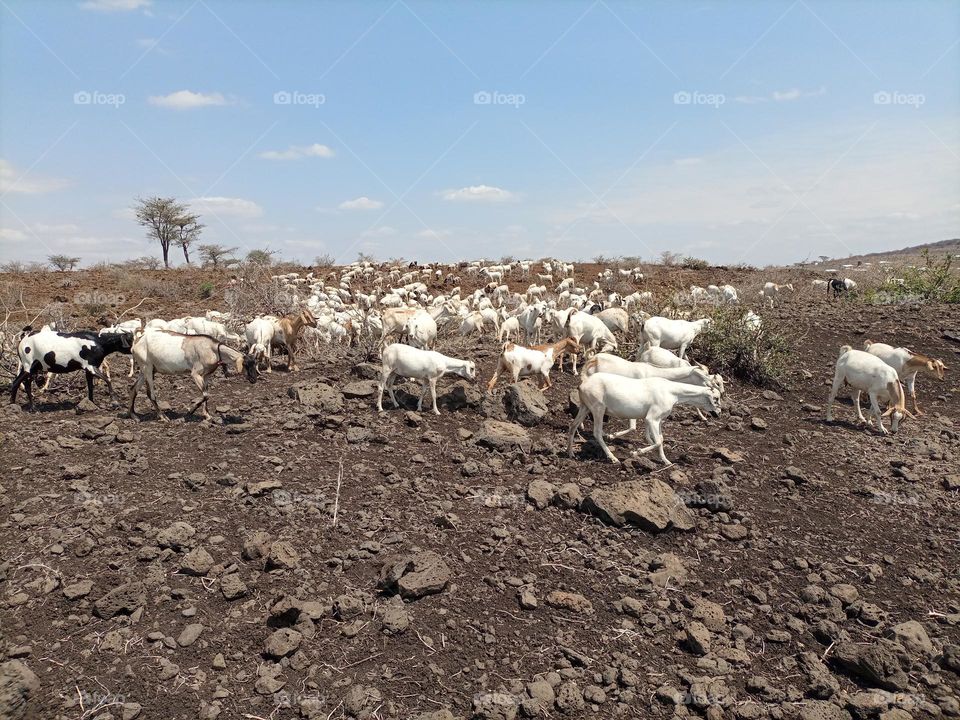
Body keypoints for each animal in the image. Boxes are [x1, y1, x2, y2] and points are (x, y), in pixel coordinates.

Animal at [128, 329, 259, 421]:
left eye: (255, 363)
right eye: (246, 364)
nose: (254, 379)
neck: (212, 349)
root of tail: (137, 343)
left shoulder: (206, 375)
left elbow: (205, 393)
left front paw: (207, 415)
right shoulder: (195, 374)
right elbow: (205, 395)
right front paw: (189, 412)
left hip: (146, 370)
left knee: (133, 389)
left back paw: (134, 416)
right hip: (147, 367)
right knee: (150, 394)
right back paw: (163, 417)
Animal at [568, 374, 722, 464]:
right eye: (716, 398)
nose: (718, 413)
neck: (672, 392)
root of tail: (582, 385)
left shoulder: (658, 420)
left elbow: (659, 439)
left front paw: (666, 461)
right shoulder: (652, 418)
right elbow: (658, 441)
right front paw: (635, 452)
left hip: (585, 407)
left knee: (573, 425)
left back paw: (570, 453)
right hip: (598, 408)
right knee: (597, 433)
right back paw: (613, 458)